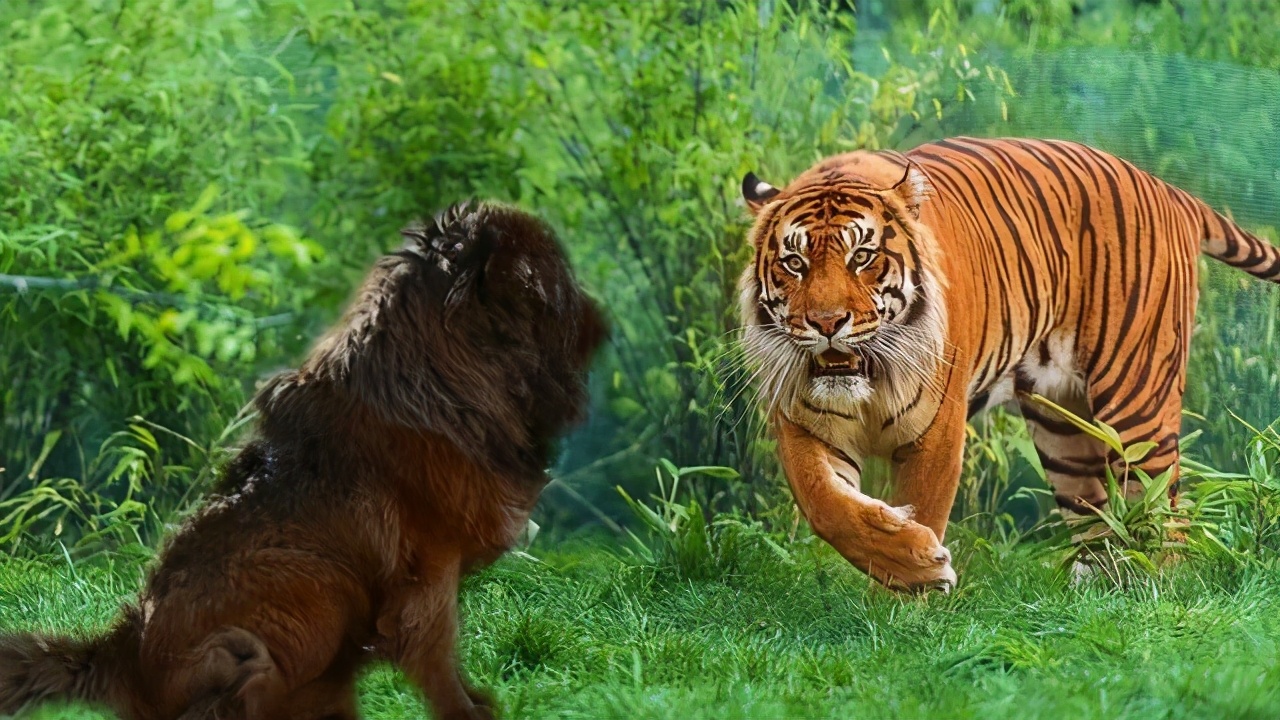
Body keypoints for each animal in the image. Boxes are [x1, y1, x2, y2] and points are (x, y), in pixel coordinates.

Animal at [738, 137, 1280, 592]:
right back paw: (1099, 593)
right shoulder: (802, 420)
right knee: (1096, 514)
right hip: (1063, 427)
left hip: (1138, 398)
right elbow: (825, 505)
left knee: (1164, 506)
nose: (827, 323)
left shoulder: (937, 428)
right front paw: (908, 569)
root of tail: (1167, 189)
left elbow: (925, 505)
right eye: (794, 263)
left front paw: (910, 594)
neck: (870, 379)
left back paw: (1159, 588)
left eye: (862, 256)